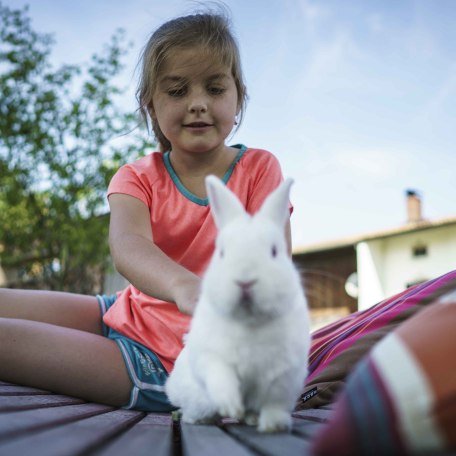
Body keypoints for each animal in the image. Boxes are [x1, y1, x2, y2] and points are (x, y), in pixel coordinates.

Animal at [166, 176, 312, 432]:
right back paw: (205, 419)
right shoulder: (212, 357)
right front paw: (232, 406)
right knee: (189, 411)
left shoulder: (284, 375)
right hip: (196, 397)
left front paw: (274, 425)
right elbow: (222, 379)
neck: (250, 321)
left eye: (274, 251)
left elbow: (274, 402)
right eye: (221, 252)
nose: (245, 280)